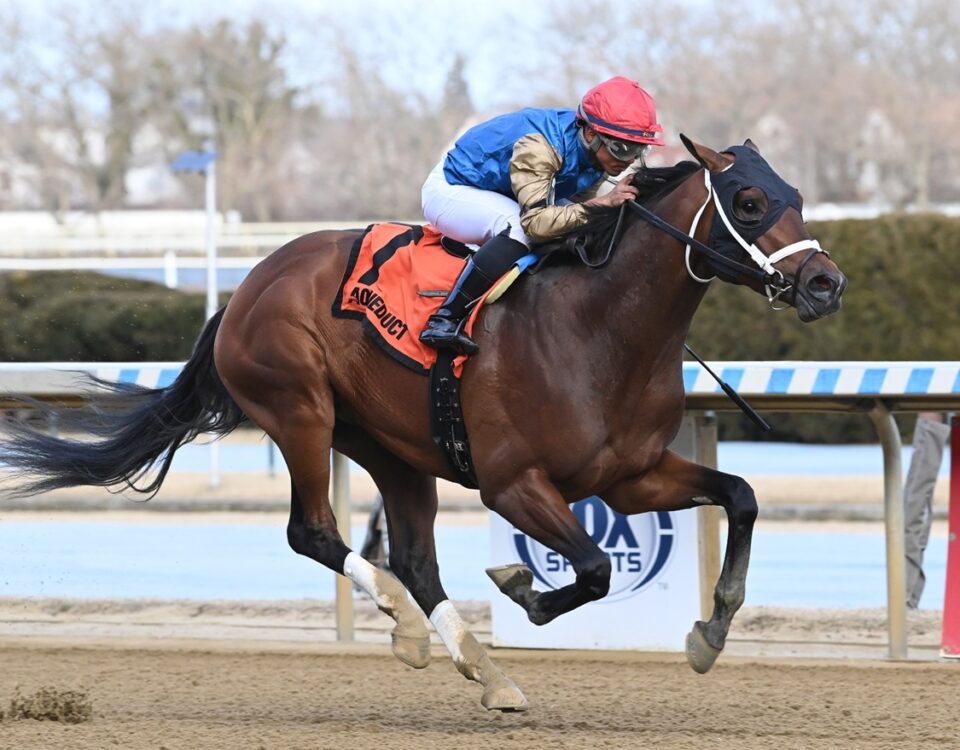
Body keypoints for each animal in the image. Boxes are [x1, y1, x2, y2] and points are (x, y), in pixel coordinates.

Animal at [0, 137, 844, 716]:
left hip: (392, 448)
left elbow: (739, 497)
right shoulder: (514, 484)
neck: (599, 331)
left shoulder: (629, 478)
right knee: (315, 532)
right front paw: (525, 588)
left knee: (413, 558)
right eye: (749, 202)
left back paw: (485, 671)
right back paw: (406, 626)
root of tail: (246, 288)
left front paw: (711, 631)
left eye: (797, 193)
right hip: (301, 410)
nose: (825, 283)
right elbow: (595, 568)